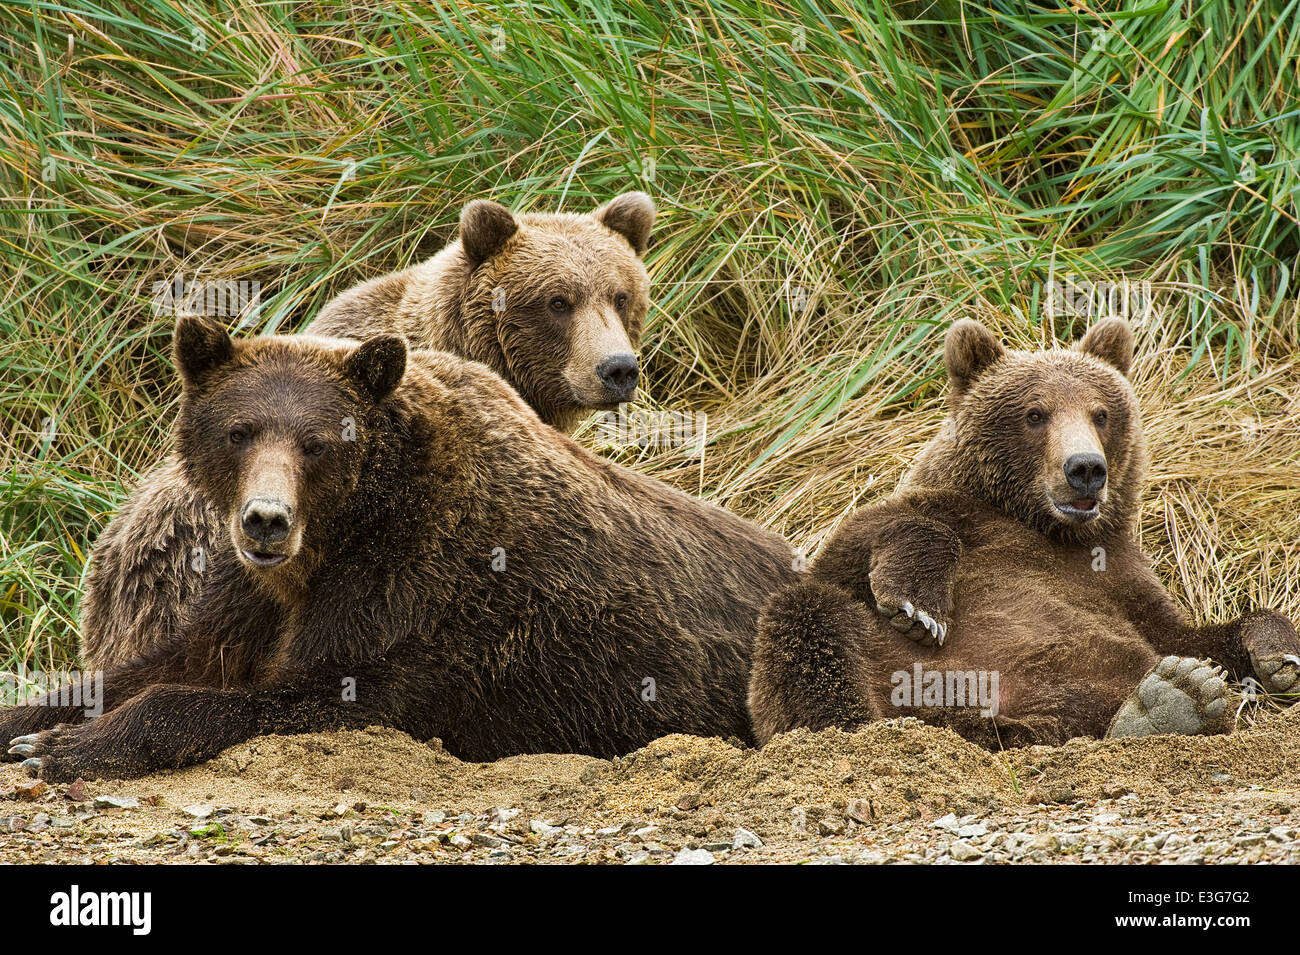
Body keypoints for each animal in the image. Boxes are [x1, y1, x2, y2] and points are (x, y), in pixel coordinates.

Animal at [2, 317, 798, 781]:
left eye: (316, 442)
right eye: (238, 430)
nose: (266, 521)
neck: (336, 538)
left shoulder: (419, 597)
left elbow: (312, 693)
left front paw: (65, 750)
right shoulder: (248, 595)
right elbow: (166, 662)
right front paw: (30, 727)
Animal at [748, 318, 1300, 750]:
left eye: (1101, 413)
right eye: (1035, 413)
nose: (1085, 468)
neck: (1045, 525)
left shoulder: (1119, 575)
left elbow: (1184, 636)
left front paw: (1277, 654)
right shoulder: (949, 511)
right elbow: (853, 549)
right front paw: (918, 608)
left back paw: (1171, 702)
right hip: (883, 661)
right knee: (809, 625)